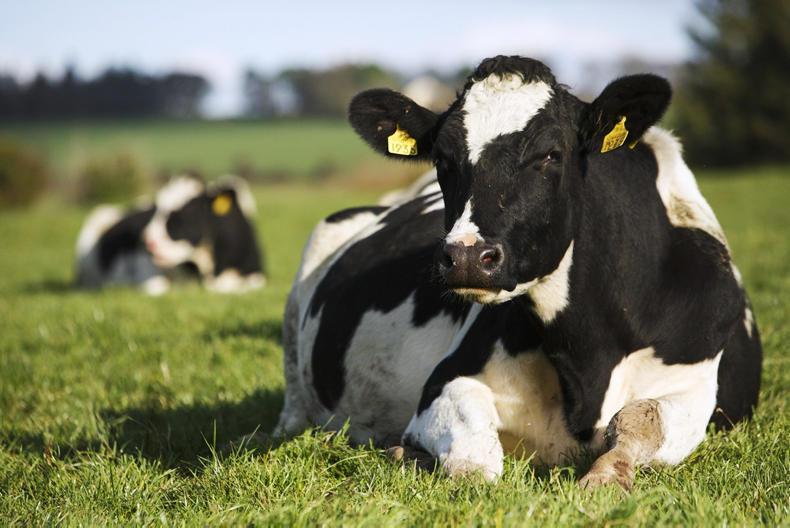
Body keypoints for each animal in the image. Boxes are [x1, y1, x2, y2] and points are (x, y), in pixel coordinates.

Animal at [275, 56, 762, 489]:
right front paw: (408, 453)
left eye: (550, 154)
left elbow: (641, 421)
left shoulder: (696, 383)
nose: (467, 256)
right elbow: (476, 464)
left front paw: (605, 477)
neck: (587, 356)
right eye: (443, 159)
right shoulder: (446, 382)